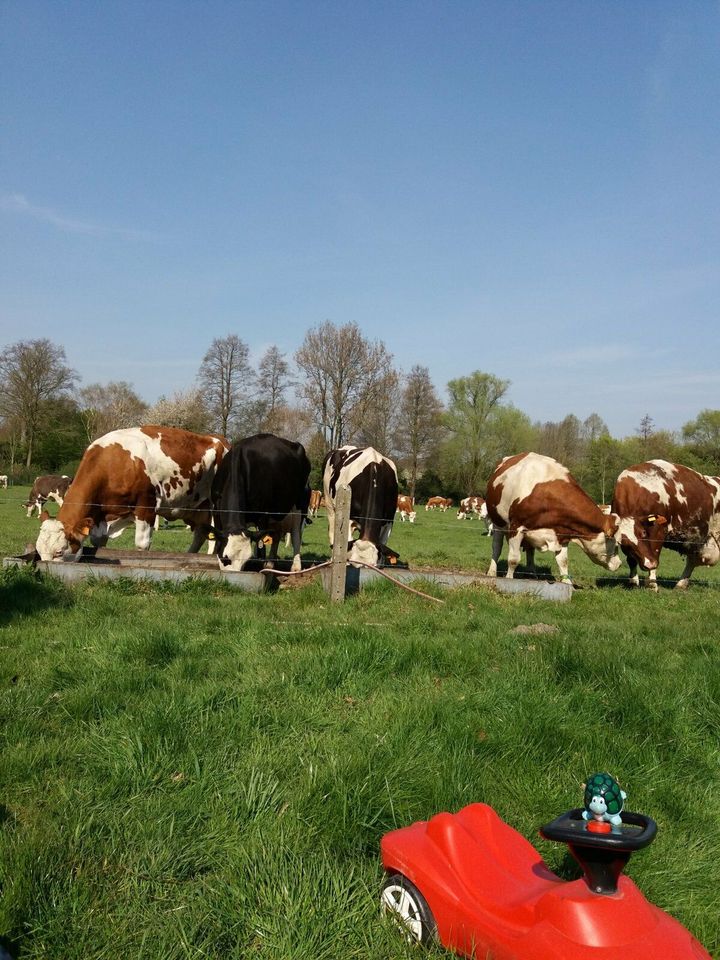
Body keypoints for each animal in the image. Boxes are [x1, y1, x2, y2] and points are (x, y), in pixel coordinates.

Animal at [34, 424, 228, 560]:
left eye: (59, 552)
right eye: (39, 551)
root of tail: (220, 440)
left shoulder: (146, 507)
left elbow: (142, 546)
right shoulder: (101, 517)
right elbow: (99, 544)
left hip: (218, 508)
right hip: (197, 507)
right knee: (201, 533)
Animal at [208, 434, 310, 568]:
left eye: (245, 561)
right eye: (225, 558)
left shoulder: (263, 515)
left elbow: (262, 548)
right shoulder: (216, 510)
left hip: (299, 506)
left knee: (296, 535)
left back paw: (296, 566)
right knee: (277, 535)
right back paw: (270, 563)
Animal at [486, 452, 620, 580]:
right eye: (617, 545)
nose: (619, 564)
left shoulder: (562, 533)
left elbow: (563, 561)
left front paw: (567, 582)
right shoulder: (516, 527)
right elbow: (513, 559)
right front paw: (509, 578)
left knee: (530, 551)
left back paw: (531, 573)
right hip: (498, 523)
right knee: (496, 548)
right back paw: (492, 572)